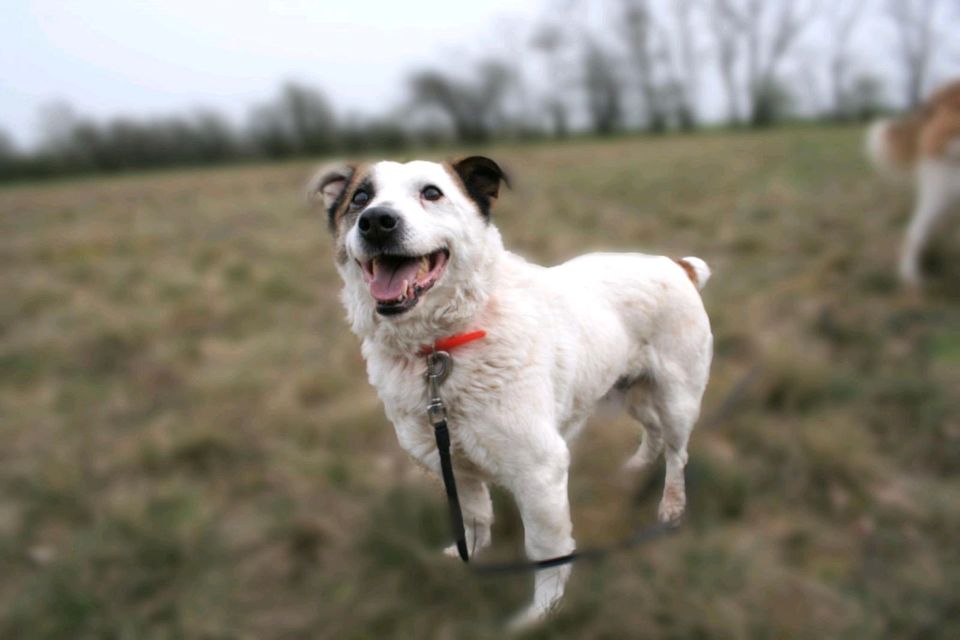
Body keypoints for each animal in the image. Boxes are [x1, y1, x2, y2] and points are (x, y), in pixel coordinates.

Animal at [308, 158, 712, 628]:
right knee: (653, 432)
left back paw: (671, 507)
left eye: (431, 193)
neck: (441, 350)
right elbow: (473, 518)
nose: (376, 222)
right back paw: (634, 468)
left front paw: (543, 613)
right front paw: (468, 556)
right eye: (359, 198)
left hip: (678, 398)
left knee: (678, 453)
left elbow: (547, 551)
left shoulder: (540, 471)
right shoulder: (449, 463)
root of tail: (676, 265)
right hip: (627, 390)